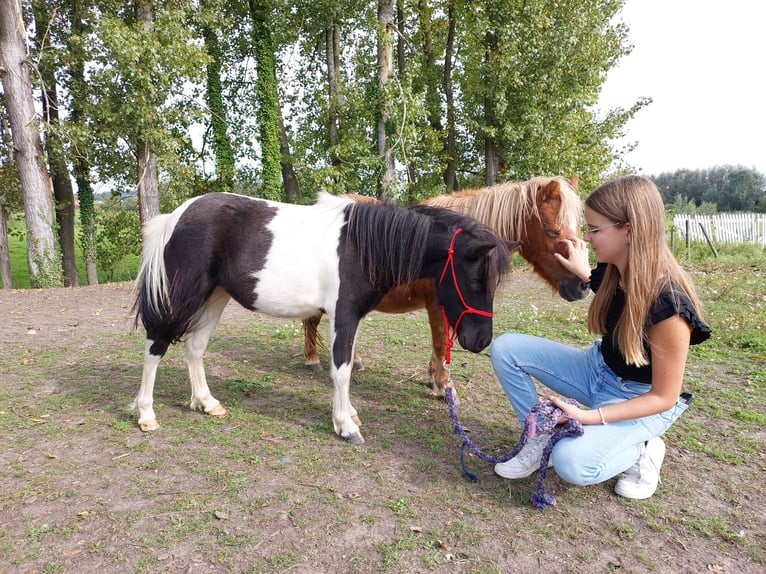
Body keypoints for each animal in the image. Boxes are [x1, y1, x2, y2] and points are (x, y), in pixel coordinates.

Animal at [132, 194, 516, 446]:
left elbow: (346, 368)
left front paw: (349, 414)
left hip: (215, 296)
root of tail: (175, 217)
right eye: (475, 281)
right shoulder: (343, 314)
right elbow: (341, 370)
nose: (481, 340)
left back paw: (206, 403)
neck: (362, 246)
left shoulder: (353, 317)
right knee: (155, 345)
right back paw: (146, 415)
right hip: (182, 295)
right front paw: (346, 426)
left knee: (195, 348)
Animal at [302, 176, 588, 392]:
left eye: (579, 227)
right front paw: (443, 386)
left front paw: (434, 377)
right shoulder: (439, 305)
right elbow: (441, 343)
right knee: (311, 321)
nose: (582, 284)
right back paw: (312, 359)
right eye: (552, 231)